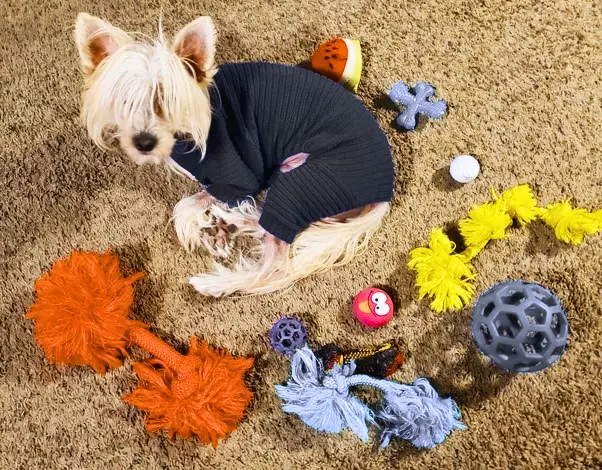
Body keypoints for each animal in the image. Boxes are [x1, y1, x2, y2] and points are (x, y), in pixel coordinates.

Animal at [74, 14, 394, 298]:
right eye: (124, 101)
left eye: (168, 102)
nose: (144, 143)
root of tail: (384, 192)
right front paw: (213, 231)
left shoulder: (239, 178)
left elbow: (185, 205)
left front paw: (196, 226)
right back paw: (230, 222)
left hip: (300, 181)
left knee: (279, 263)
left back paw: (218, 282)